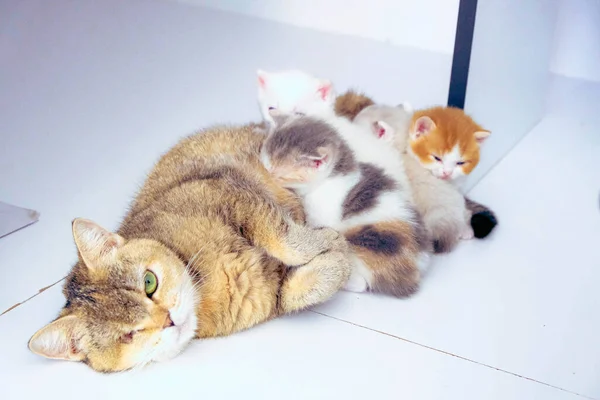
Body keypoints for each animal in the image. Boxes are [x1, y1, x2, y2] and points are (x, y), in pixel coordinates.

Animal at [29, 124, 352, 372]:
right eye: (129, 335)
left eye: (149, 282)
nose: (169, 320)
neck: (204, 286)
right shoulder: (267, 296)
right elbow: (297, 292)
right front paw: (336, 261)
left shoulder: (230, 193)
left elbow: (282, 238)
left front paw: (326, 242)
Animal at [260, 112, 428, 296]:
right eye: (265, 163)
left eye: (279, 175)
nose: (266, 175)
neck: (329, 179)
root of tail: (419, 263)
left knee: (362, 282)